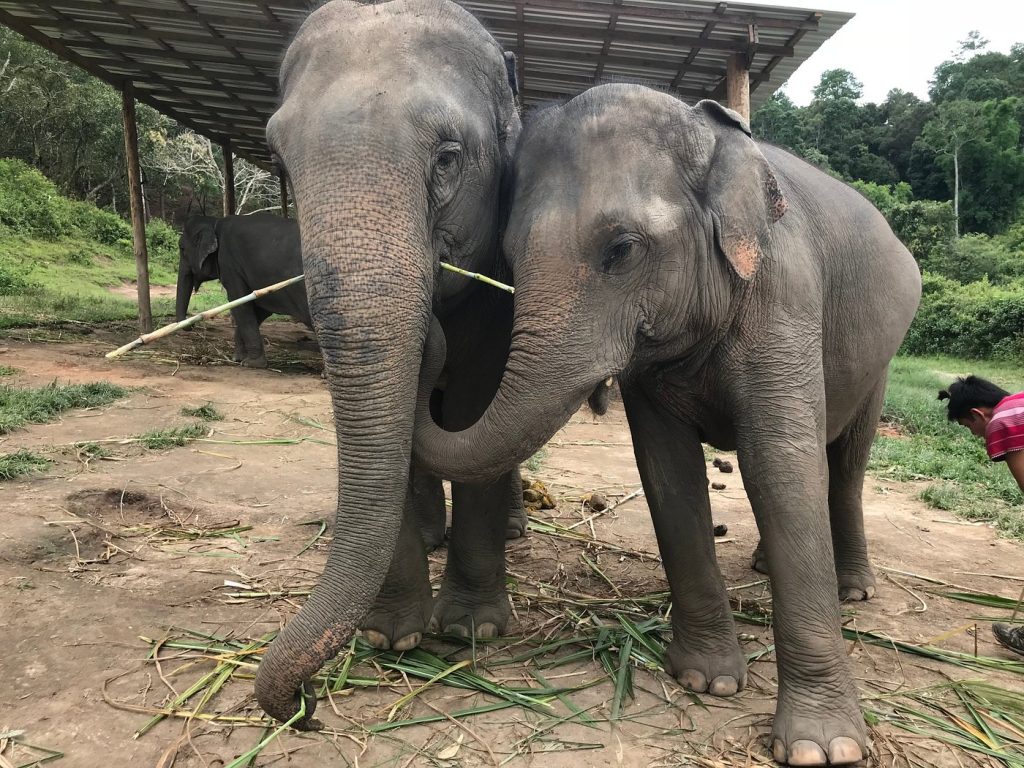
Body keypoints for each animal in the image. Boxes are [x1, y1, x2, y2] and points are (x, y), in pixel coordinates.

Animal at [176, 213, 312, 368]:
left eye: (182, 248)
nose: (192, 324)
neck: (215, 222)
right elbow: (259, 310)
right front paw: (238, 358)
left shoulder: (230, 265)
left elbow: (240, 304)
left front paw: (251, 363)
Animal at [253, 0, 525, 727]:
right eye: (279, 159)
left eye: (449, 158)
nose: (305, 709)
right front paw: (389, 636)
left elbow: (478, 403)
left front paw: (471, 628)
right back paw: (432, 535)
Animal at [413, 84, 922, 766]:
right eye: (510, 260)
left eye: (622, 249)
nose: (433, 321)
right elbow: (668, 472)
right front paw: (708, 680)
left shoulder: (785, 295)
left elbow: (780, 468)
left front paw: (824, 747)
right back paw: (765, 568)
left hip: (883, 359)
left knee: (846, 464)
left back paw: (855, 591)